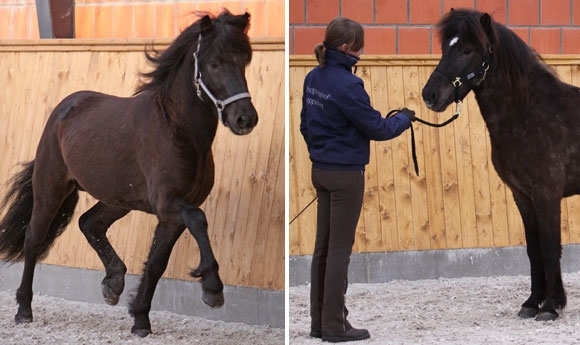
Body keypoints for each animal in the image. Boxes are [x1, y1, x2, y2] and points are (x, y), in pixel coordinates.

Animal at [0, 10, 258, 336]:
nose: (245, 119)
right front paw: (212, 288)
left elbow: (156, 263)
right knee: (34, 238)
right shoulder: (169, 203)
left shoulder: (172, 214)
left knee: (89, 223)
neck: (179, 130)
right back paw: (24, 309)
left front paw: (140, 320)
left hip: (117, 199)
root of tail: (64, 108)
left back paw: (113, 282)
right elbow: (200, 221)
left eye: (245, 61)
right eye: (214, 63)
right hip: (51, 189)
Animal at [422, 8, 580, 322]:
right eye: (445, 47)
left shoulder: (546, 194)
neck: (529, 114)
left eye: (468, 50)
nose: (430, 95)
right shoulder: (522, 195)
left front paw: (551, 306)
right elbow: (533, 250)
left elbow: (549, 248)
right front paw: (532, 302)